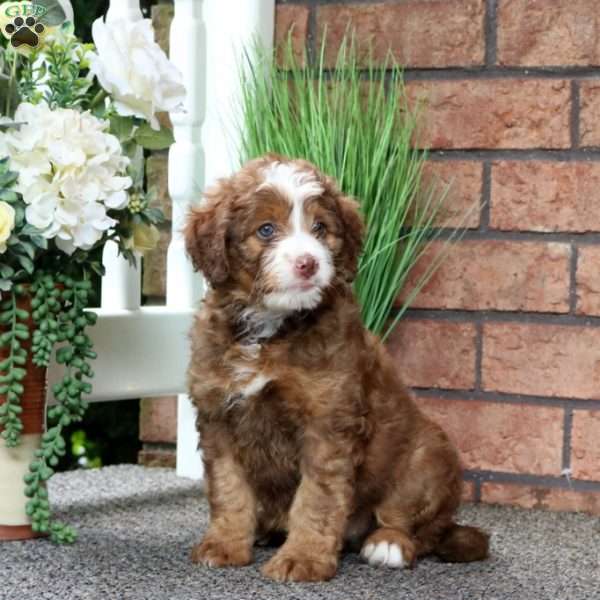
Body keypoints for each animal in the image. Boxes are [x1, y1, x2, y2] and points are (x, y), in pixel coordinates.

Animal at [185, 155, 490, 580]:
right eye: (266, 229)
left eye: (320, 228)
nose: (308, 263)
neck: (271, 328)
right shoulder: (218, 416)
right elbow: (229, 488)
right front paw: (225, 544)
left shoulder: (328, 421)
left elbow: (317, 497)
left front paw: (303, 559)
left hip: (428, 454)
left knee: (414, 523)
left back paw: (388, 544)